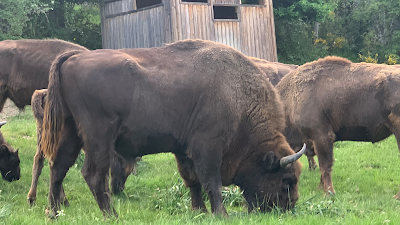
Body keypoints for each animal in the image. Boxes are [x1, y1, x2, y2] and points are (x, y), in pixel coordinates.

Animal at [39, 39, 304, 217]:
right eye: (287, 180)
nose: (288, 207)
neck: (237, 98)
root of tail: (73, 58)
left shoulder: (183, 150)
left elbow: (192, 180)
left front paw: (199, 211)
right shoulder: (207, 147)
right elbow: (212, 182)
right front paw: (222, 214)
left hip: (70, 131)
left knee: (58, 167)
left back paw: (54, 213)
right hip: (98, 136)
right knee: (93, 174)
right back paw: (112, 215)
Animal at [276, 56, 400, 197]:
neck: (291, 98)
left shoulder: (321, 136)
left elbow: (325, 165)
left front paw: (328, 192)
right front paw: (321, 188)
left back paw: (396, 197)